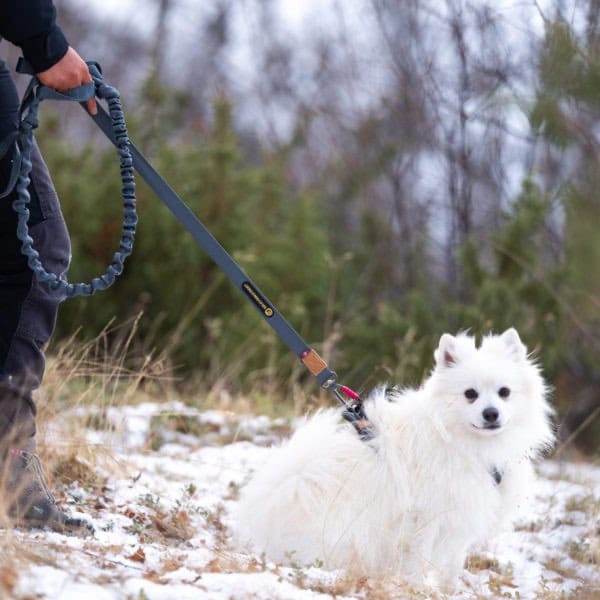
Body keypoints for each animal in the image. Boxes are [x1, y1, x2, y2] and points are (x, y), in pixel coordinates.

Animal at [233, 330, 552, 588]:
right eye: (470, 394)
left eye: (504, 392)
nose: (491, 413)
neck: (461, 440)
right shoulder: (425, 518)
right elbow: (418, 562)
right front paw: (417, 590)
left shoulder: (461, 515)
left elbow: (451, 566)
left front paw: (450, 592)